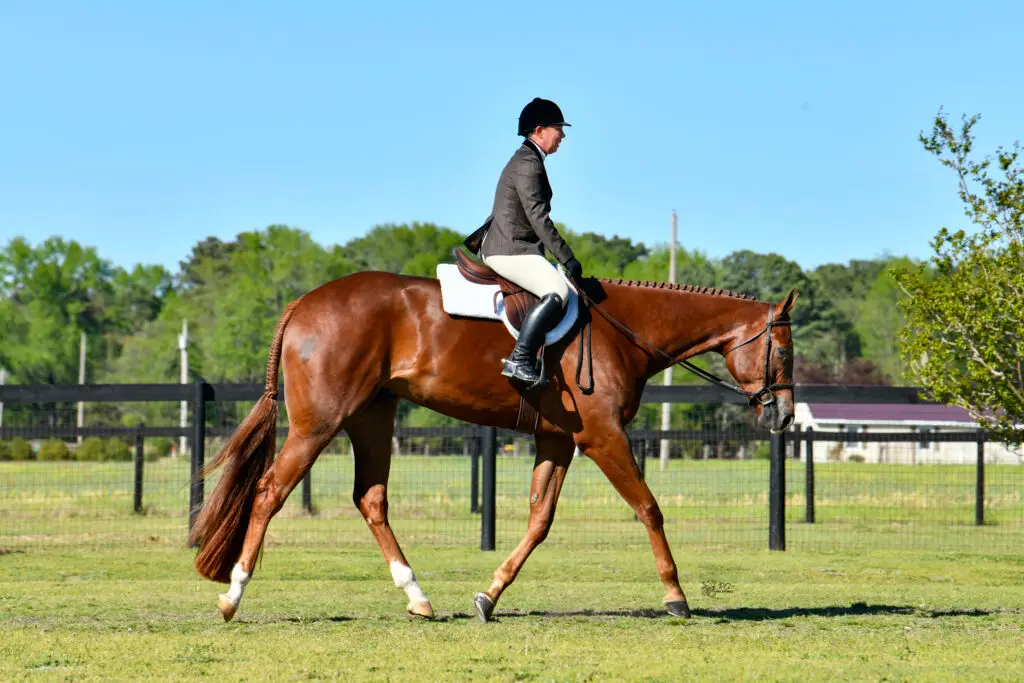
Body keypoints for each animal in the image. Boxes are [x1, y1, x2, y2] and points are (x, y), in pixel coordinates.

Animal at [188, 264, 797, 623]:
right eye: (785, 352)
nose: (785, 415)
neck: (623, 330)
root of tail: (305, 303)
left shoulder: (558, 441)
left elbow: (538, 521)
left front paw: (489, 595)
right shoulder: (602, 437)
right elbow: (649, 508)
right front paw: (676, 597)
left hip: (371, 416)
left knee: (371, 499)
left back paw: (418, 598)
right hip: (320, 423)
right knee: (270, 491)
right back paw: (233, 595)